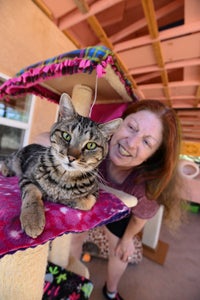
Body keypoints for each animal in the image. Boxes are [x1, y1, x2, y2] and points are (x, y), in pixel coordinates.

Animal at [0, 92, 121, 238]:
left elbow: (87, 202)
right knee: (5, 159)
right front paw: (33, 218)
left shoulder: (95, 191)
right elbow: (32, 193)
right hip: (16, 159)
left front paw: (65, 200)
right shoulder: (27, 177)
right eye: (66, 136)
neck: (64, 176)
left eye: (91, 145)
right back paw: (6, 170)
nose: (71, 157)